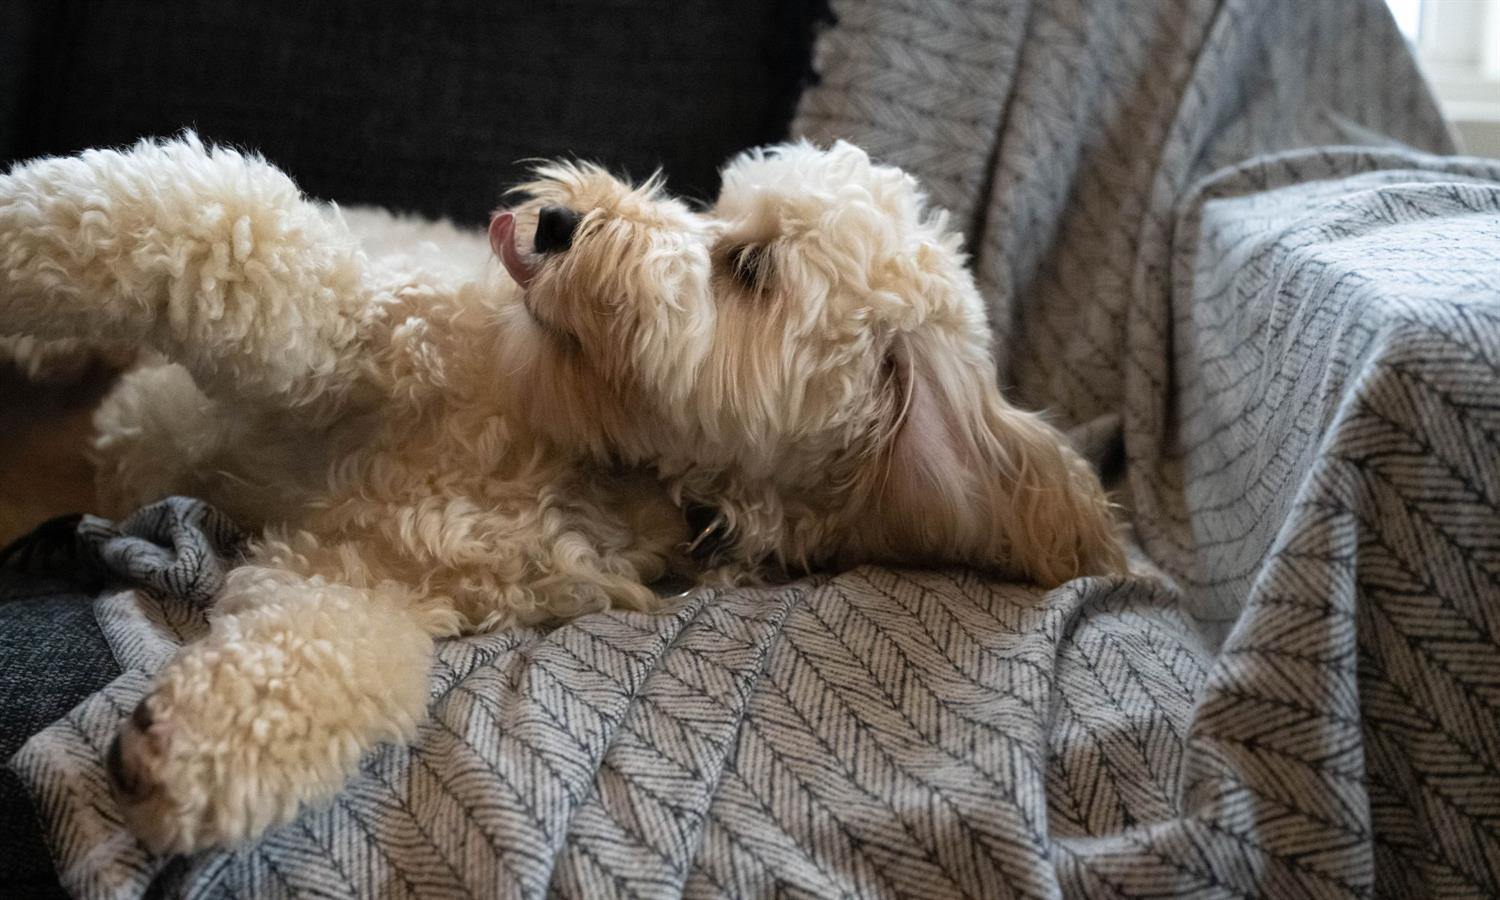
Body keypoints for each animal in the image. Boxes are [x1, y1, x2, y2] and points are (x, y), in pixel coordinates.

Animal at [0, 137, 1128, 852]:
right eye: (717, 206)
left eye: (750, 267)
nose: (554, 218)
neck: (588, 454)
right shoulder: (340, 326)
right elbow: (212, 229)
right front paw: (16, 233)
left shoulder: (375, 576)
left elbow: (327, 654)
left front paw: (194, 752)